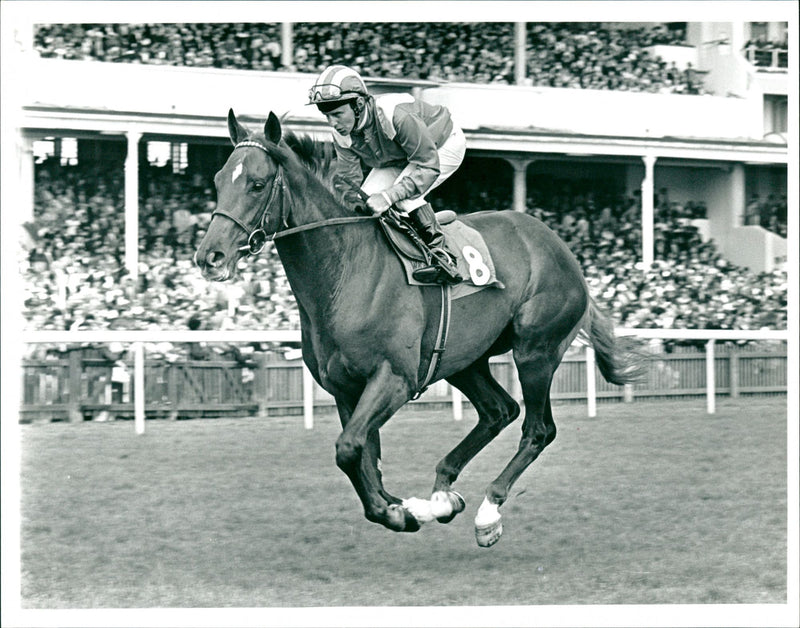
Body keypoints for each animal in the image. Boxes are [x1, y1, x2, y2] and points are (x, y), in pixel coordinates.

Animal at [194, 110, 636, 548]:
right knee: (499, 411)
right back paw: (441, 496)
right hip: (465, 359)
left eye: (256, 184)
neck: (347, 272)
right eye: (218, 180)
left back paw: (487, 513)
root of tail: (560, 246)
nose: (209, 257)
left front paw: (401, 512)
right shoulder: (344, 389)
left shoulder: (395, 378)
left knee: (538, 429)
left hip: (536, 350)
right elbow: (363, 458)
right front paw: (400, 507)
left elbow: (349, 448)